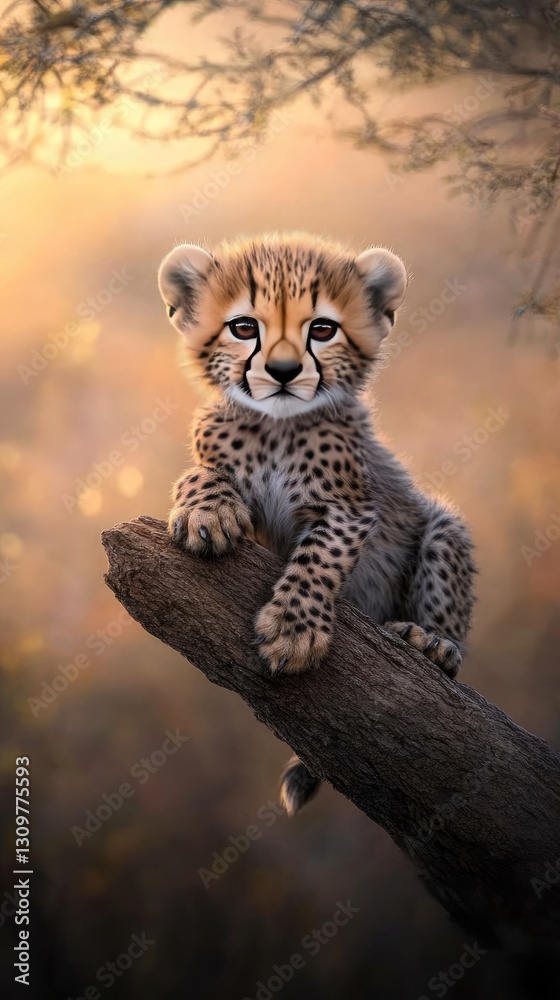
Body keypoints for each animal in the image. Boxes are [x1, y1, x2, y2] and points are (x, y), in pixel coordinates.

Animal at [157, 233, 476, 817]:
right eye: (244, 327)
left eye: (322, 329)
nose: (283, 371)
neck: (277, 428)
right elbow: (198, 472)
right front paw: (207, 512)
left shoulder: (349, 508)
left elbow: (317, 559)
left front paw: (293, 631)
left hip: (445, 530)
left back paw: (430, 643)